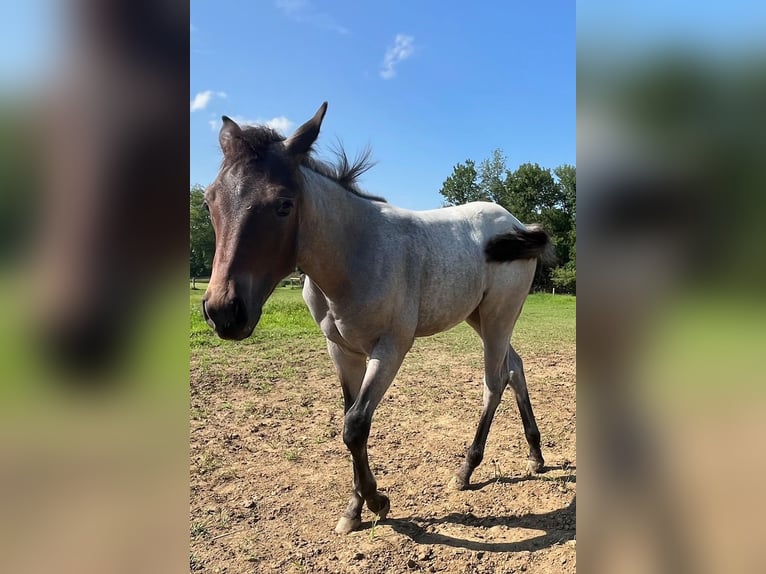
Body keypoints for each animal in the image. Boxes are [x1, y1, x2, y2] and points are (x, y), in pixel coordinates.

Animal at [202, 102, 554, 534]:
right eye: (208, 203)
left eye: (283, 204)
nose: (223, 312)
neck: (356, 254)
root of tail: (517, 224)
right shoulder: (342, 350)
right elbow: (350, 420)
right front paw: (354, 509)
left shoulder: (390, 348)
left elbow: (355, 425)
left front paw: (377, 501)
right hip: (480, 317)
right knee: (515, 366)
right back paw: (535, 455)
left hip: (497, 317)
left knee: (495, 381)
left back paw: (466, 470)